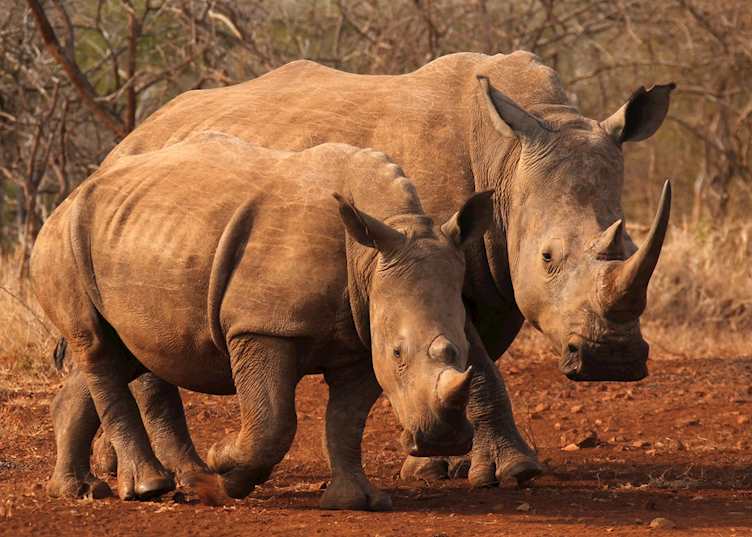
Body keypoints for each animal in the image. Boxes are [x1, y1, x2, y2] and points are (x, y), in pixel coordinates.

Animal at [32, 134, 494, 508]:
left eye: (463, 349)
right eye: (398, 352)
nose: (441, 439)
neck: (372, 250)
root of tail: (68, 197)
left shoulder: (363, 337)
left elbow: (346, 420)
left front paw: (356, 501)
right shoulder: (263, 326)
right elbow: (272, 420)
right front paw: (226, 470)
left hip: (134, 237)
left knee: (127, 349)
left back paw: (82, 489)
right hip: (66, 238)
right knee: (97, 346)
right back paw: (150, 489)